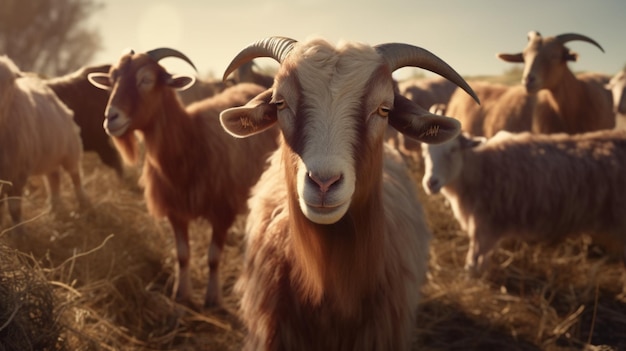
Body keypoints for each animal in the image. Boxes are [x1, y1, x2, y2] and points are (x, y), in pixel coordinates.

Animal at [86, 47, 278, 308]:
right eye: (112, 80)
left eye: (146, 79)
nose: (111, 118)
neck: (192, 141)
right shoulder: (175, 211)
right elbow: (182, 255)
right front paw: (181, 293)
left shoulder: (222, 211)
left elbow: (213, 257)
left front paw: (213, 298)